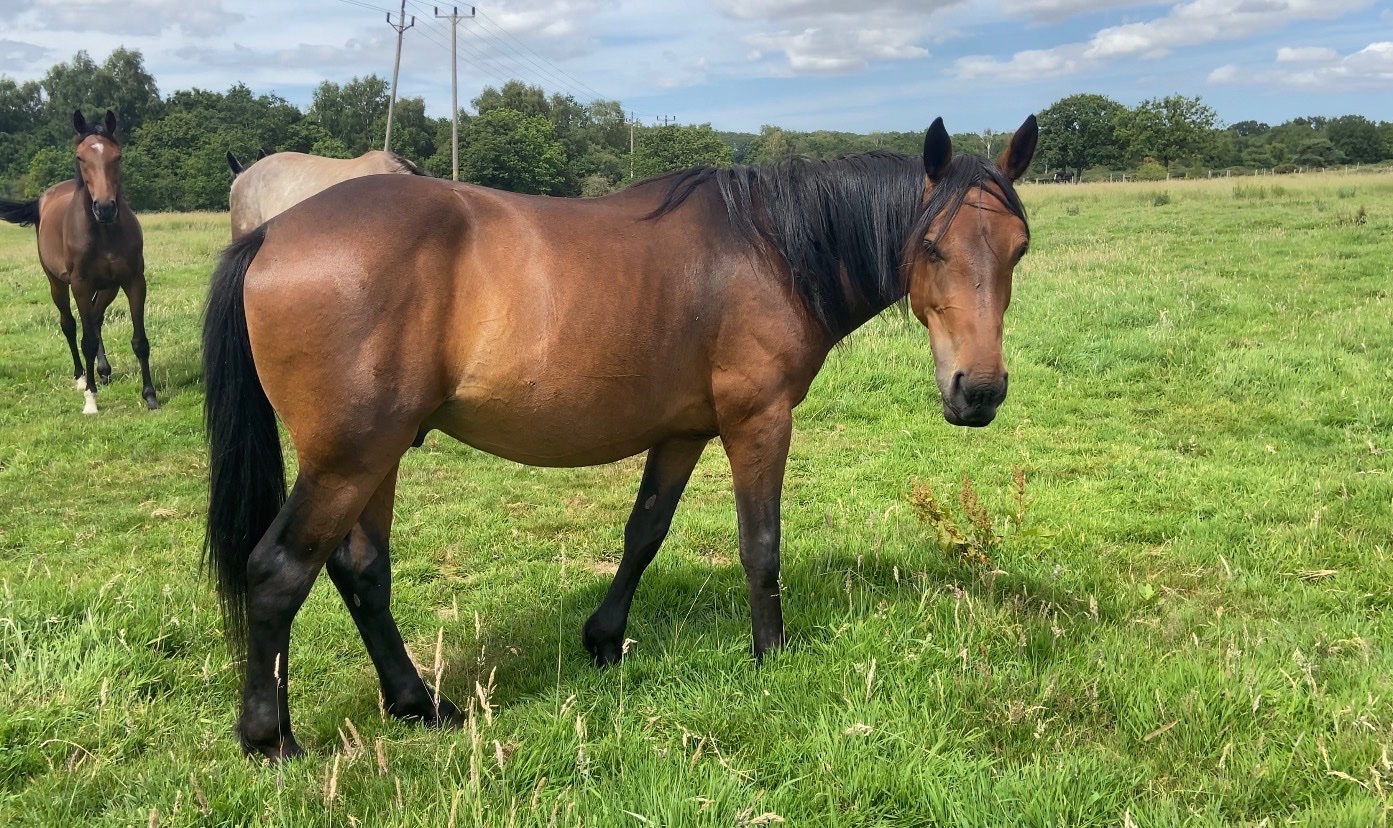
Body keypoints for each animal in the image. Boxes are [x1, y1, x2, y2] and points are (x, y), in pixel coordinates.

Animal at [0, 110, 159, 413]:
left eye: (117, 156)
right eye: (80, 157)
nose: (105, 207)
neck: (104, 233)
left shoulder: (133, 281)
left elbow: (139, 341)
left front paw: (150, 396)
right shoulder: (81, 285)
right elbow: (86, 341)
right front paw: (91, 400)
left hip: (108, 287)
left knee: (95, 318)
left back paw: (104, 370)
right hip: (57, 284)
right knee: (70, 325)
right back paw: (81, 376)